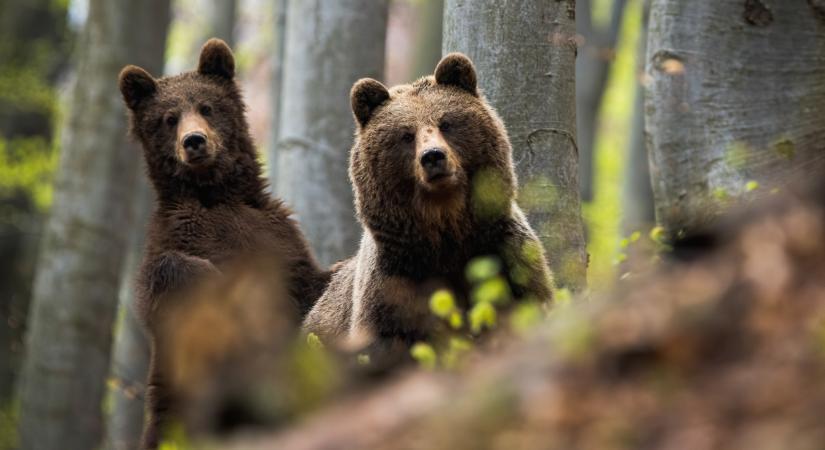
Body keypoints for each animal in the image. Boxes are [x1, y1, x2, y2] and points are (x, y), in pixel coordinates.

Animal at [118, 39, 328, 450]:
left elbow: (309, 284)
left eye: (206, 106)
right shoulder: (177, 236)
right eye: (169, 118)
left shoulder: (278, 239)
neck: (215, 195)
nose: (194, 141)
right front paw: (212, 279)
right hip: (173, 409)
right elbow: (167, 279)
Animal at [302, 52, 552, 360]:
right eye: (406, 134)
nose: (433, 156)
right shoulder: (393, 283)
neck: (446, 229)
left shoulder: (505, 254)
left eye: (446, 122)